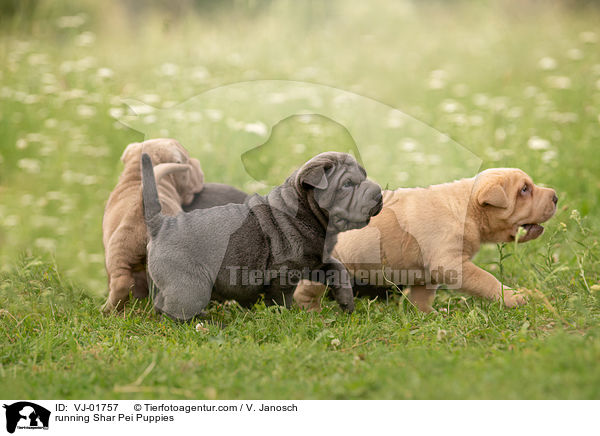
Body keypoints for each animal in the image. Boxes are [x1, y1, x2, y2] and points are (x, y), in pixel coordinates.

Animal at [102, 138, 205, 312]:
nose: (197, 162)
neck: (137, 177)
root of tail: (140, 206)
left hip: (117, 252)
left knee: (121, 283)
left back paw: (108, 309)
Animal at [143, 151, 382, 320]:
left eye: (364, 177)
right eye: (347, 184)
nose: (379, 193)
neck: (306, 212)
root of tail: (163, 224)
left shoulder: (315, 262)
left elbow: (338, 269)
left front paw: (347, 304)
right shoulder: (284, 274)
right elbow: (281, 300)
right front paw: (286, 318)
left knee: (162, 304)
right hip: (191, 284)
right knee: (176, 311)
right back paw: (207, 321)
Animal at [296, 168, 556, 314]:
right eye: (524, 190)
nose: (555, 196)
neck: (466, 208)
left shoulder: (427, 273)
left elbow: (422, 296)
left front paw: (427, 315)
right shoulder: (451, 264)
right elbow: (487, 279)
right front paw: (512, 298)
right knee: (304, 291)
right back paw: (311, 313)